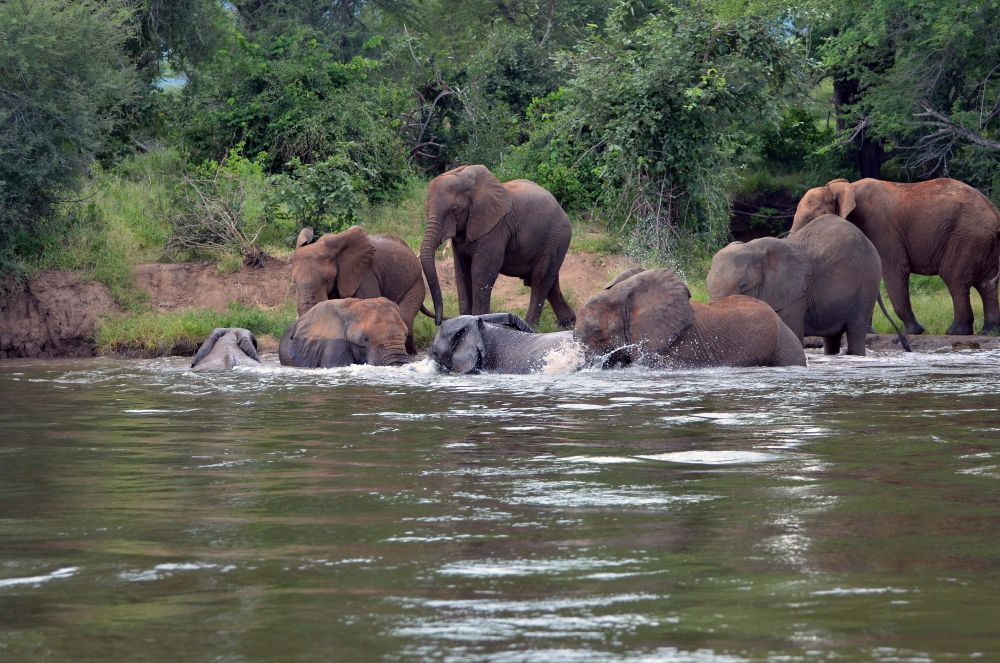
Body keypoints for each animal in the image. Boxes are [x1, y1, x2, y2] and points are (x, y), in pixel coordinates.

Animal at [420, 165, 576, 330]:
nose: (438, 321)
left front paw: (479, 320)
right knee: (551, 281)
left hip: (558, 235)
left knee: (540, 278)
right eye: (426, 208)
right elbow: (462, 273)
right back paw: (568, 324)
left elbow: (482, 272)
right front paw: (464, 321)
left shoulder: (496, 228)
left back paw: (530, 327)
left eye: (455, 209)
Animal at [788, 178, 1000, 338]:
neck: (844, 188)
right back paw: (989, 332)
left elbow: (895, 270)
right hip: (981, 238)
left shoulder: (880, 227)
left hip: (967, 235)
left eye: (810, 219)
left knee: (954, 278)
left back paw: (956, 332)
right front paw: (866, 331)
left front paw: (914, 331)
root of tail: (994, 211)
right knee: (987, 283)